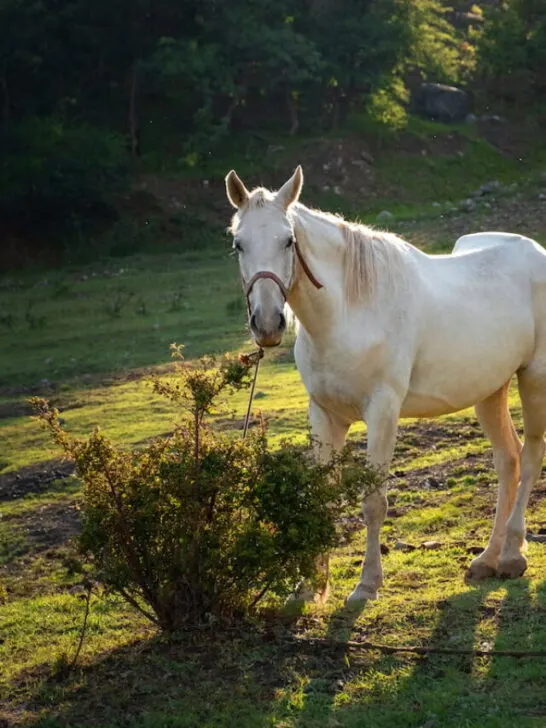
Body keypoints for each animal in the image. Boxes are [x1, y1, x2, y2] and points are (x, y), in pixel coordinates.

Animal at [225, 165, 546, 604]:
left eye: (288, 240)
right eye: (238, 244)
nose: (268, 323)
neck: (350, 313)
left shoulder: (382, 411)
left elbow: (374, 501)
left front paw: (366, 585)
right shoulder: (324, 414)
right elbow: (320, 498)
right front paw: (307, 589)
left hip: (534, 380)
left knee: (530, 457)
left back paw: (513, 555)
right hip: (489, 391)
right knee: (507, 460)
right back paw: (487, 559)